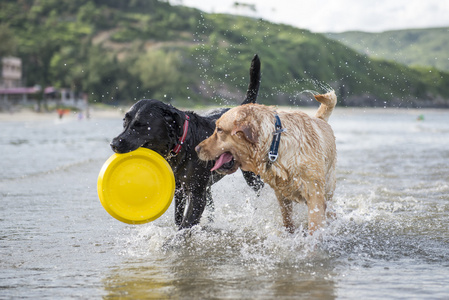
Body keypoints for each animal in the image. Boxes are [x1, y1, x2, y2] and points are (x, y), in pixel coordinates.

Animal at [109, 55, 262, 230]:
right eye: (125, 122)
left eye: (141, 125)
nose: (114, 144)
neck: (184, 145)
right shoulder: (179, 190)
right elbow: (178, 218)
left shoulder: (197, 195)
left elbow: (185, 223)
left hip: (251, 175)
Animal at [194, 91, 334, 234]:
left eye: (219, 129)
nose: (196, 148)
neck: (275, 144)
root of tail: (320, 119)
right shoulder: (282, 196)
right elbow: (287, 221)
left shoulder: (314, 194)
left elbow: (315, 225)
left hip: (328, 188)